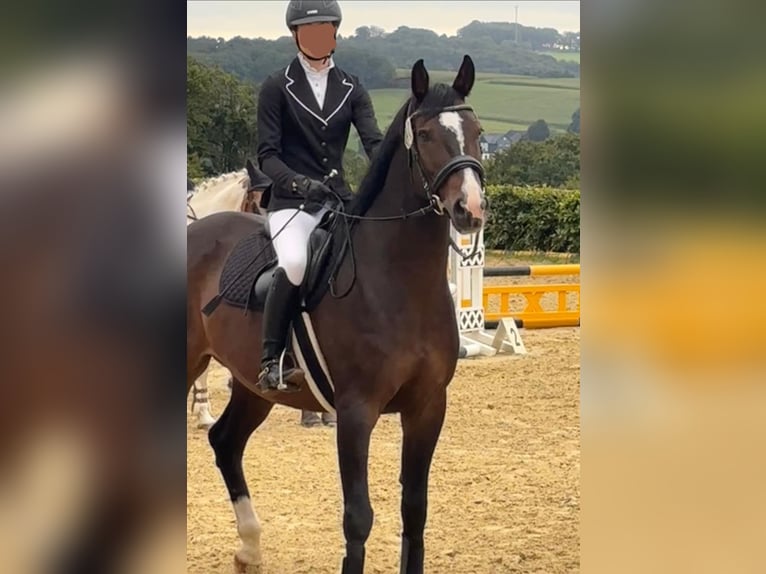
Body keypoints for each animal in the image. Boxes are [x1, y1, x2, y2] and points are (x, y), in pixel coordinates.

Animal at [186, 55, 486, 574]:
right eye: (427, 135)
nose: (471, 209)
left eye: (477, 131)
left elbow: (415, 510)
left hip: (253, 384)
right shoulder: (356, 411)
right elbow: (358, 517)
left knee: (226, 442)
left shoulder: (428, 406)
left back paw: (249, 548)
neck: (399, 282)